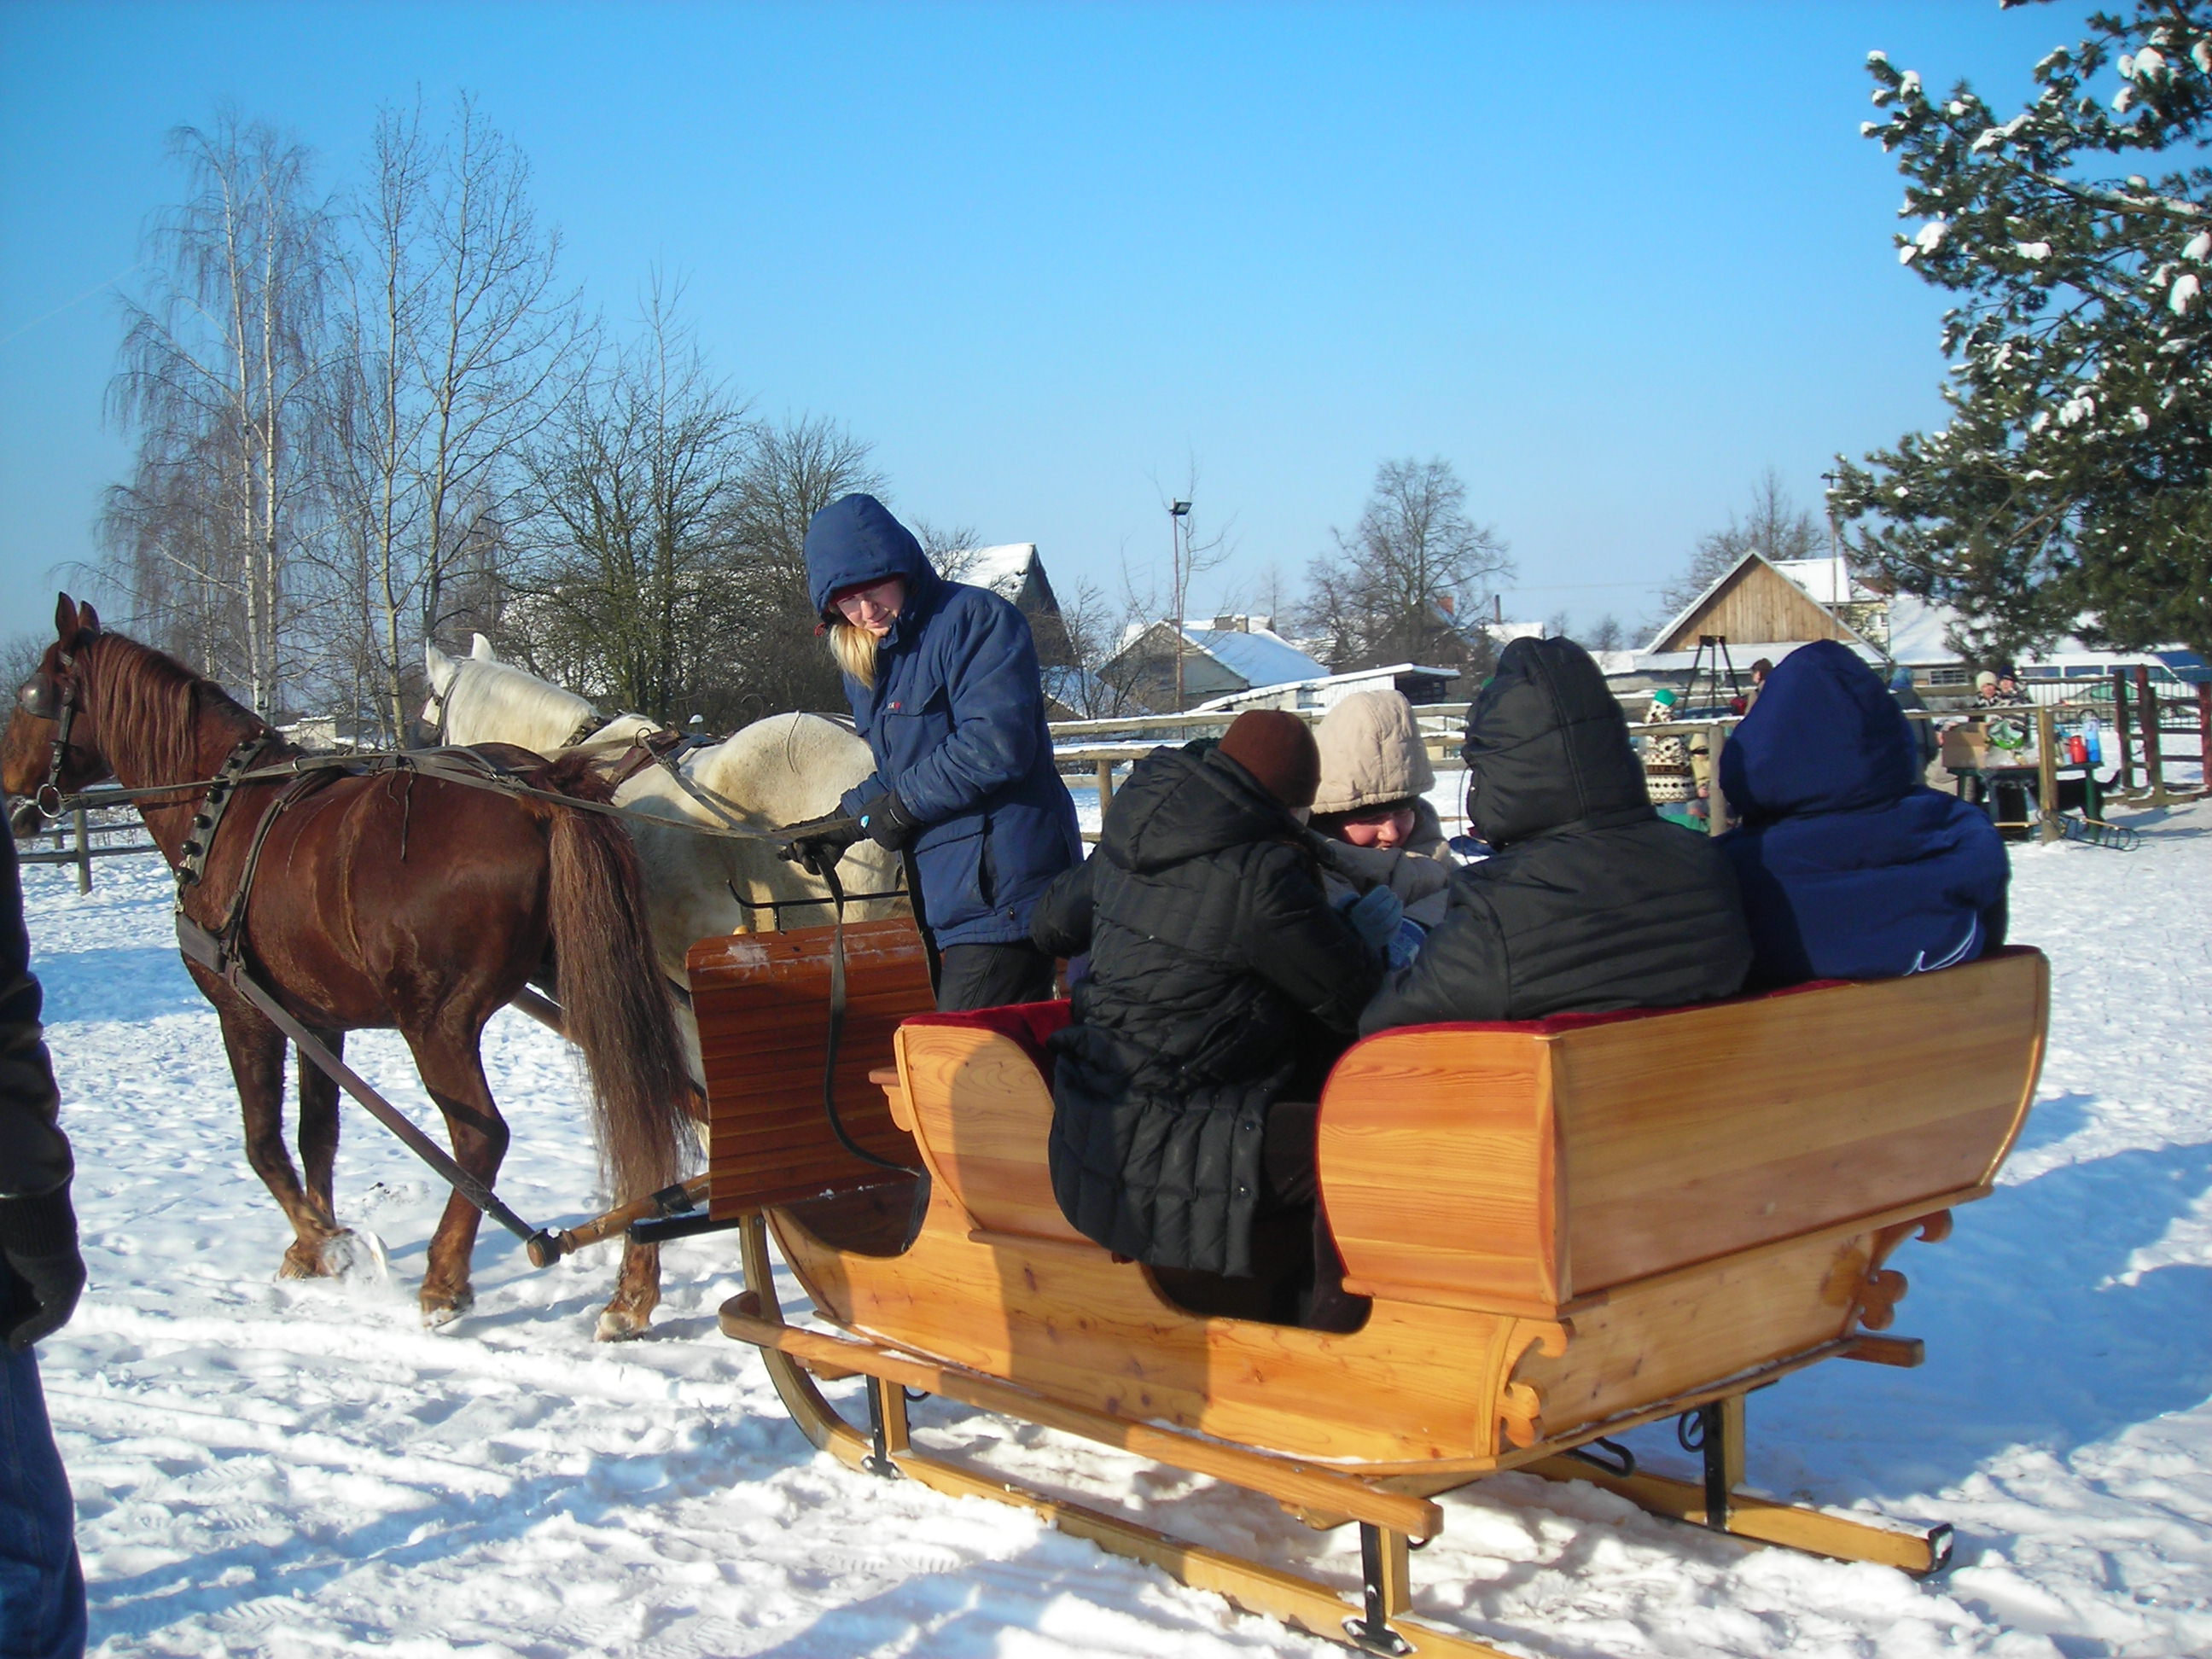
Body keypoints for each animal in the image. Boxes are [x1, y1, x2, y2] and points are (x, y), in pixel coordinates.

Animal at [4, 596, 696, 1339]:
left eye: (31, 696)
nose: (11, 795)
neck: (224, 804)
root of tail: (539, 786)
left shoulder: (242, 1010)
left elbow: (262, 1142)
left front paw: (324, 1242)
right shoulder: (316, 1019)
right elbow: (318, 1135)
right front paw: (313, 1242)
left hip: (436, 1022)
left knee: (482, 1138)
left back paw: (445, 1279)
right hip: (590, 986)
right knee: (646, 1105)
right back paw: (632, 1290)